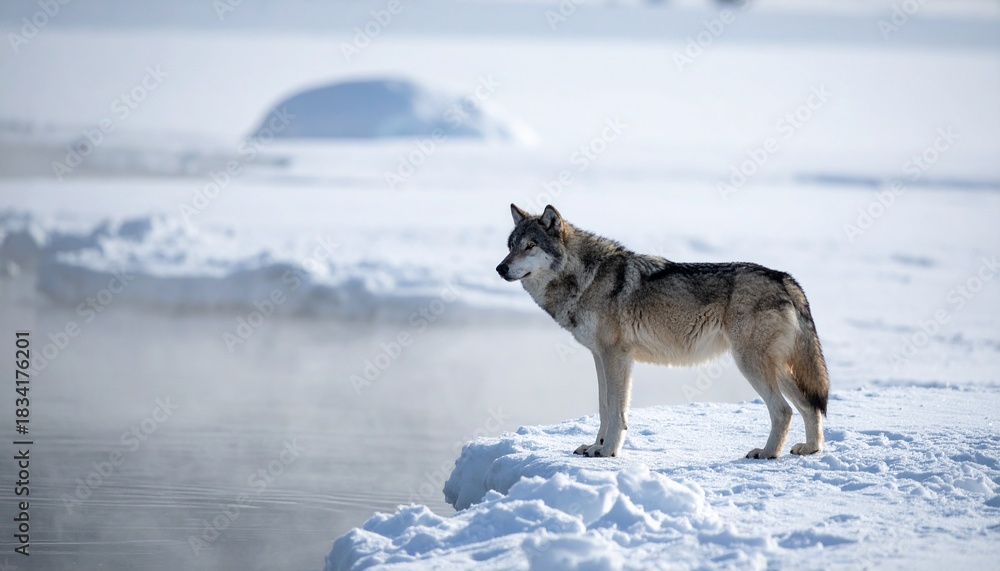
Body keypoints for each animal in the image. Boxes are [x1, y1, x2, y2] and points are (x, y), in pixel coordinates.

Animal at [496, 204, 829, 459]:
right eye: (511, 246)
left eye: (530, 246)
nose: (500, 268)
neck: (586, 277)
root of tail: (785, 279)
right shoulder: (599, 356)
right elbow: (603, 406)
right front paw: (594, 446)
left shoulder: (617, 356)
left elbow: (616, 410)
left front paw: (608, 451)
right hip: (775, 367)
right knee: (810, 406)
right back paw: (810, 449)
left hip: (750, 363)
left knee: (783, 410)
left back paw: (767, 453)